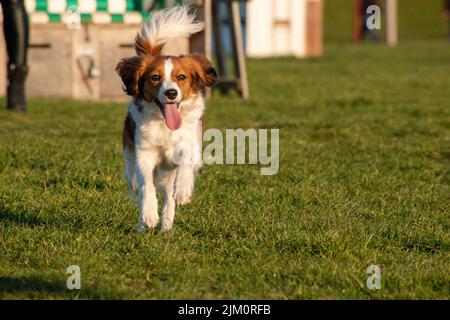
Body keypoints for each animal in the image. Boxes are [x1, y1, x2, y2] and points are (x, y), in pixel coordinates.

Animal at [116, 6, 218, 231]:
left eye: (181, 77)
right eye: (155, 77)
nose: (171, 93)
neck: (164, 125)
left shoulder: (190, 144)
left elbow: (186, 163)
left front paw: (183, 190)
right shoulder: (144, 155)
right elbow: (147, 187)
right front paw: (149, 215)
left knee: (169, 197)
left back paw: (167, 225)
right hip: (131, 166)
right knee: (140, 189)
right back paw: (143, 226)